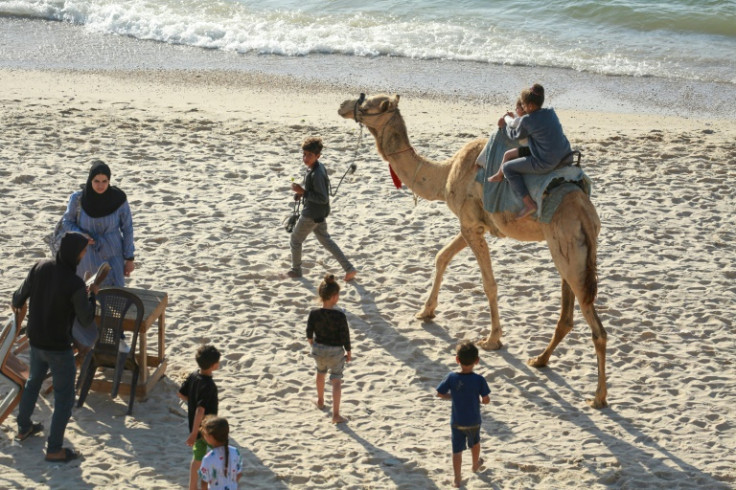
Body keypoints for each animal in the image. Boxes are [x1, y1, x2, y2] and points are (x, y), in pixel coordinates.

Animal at [336, 94, 608, 408]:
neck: (444, 174)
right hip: (571, 252)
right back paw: (540, 359)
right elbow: (441, 257)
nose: (343, 106)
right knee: (568, 314)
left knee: (595, 324)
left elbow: (488, 283)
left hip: (568, 248)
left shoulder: (470, 224)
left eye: (368, 104)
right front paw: (425, 312)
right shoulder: (472, 225)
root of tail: (586, 213)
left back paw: (598, 397)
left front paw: (492, 340)